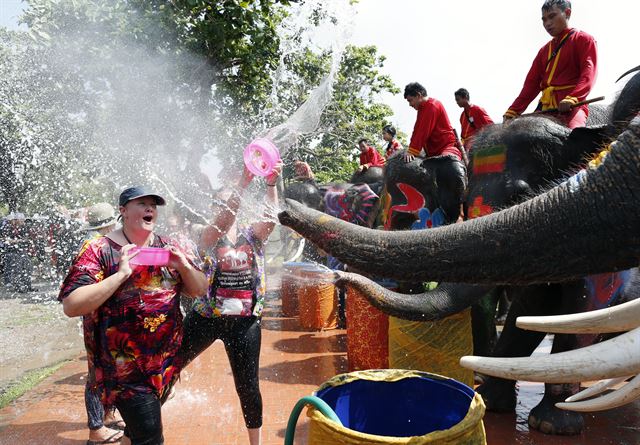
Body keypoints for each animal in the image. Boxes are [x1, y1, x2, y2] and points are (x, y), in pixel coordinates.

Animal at [278, 67, 640, 434]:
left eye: (521, 197)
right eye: (466, 202)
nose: (282, 211)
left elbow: (585, 303)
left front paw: (551, 424)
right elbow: (529, 305)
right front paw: (491, 399)